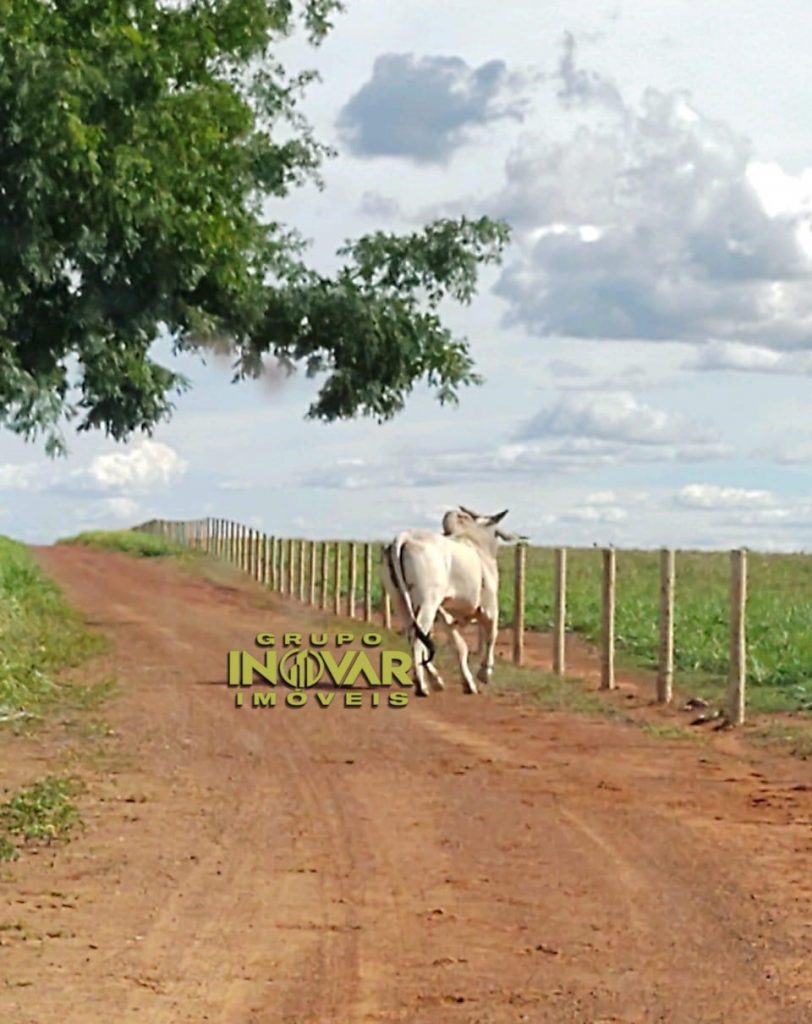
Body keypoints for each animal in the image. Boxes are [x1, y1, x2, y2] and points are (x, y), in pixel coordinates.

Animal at [380, 505, 520, 696]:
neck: (477, 545)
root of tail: (404, 537)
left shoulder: (444, 611)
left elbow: (460, 645)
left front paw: (468, 682)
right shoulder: (489, 608)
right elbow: (492, 635)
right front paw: (484, 673)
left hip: (401, 601)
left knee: (413, 634)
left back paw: (435, 679)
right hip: (428, 603)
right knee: (417, 638)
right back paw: (422, 685)